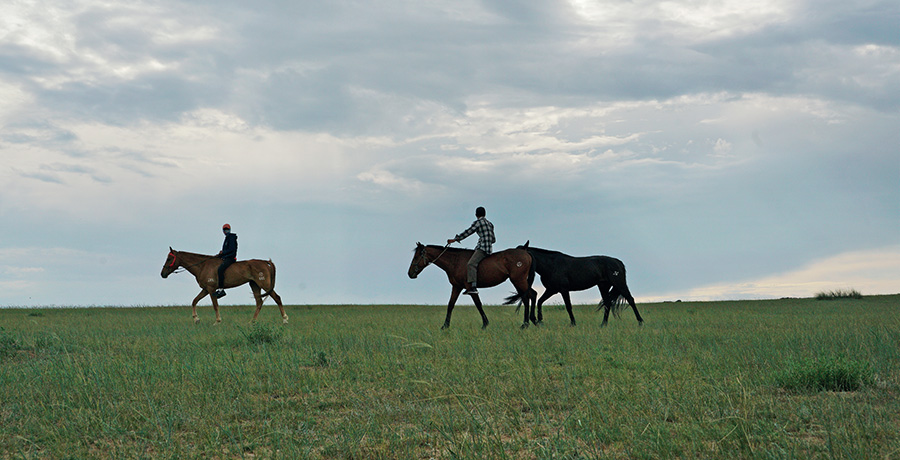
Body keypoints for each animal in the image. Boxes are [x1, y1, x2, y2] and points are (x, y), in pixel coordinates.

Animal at [408, 243, 536, 329]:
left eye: (416, 257)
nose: (410, 273)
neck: (455, 261)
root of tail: (526, 253)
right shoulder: (456, 287)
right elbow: (450, 305)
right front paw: (445, 326)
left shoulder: (470, 289)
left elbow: (478, 304)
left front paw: (485, 324)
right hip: (519, 282)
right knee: (530, 296)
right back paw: (532, 322)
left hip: (518, 281)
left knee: (529, 296)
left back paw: (527, 323)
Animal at [505, 241, 643, 327]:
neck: (550, 265)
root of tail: (618, 262)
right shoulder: (551, 290)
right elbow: (539, 301)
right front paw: (539, 319)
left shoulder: (563, 290)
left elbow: (568, 306)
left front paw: (573, 323)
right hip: (603, 286)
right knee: (608, 303)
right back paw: (603, 324)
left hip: (620, 284)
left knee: (630, 299)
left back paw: (640, 322)